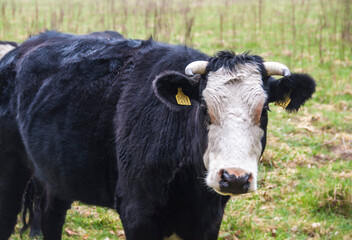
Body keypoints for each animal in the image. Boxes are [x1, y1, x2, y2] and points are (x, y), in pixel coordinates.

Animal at [0, 31, 314, 240]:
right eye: (204, 108)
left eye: (264, 110)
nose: (234, 177)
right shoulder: (138, 214)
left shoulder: (208, 219)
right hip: (11, 170)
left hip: (56, 175)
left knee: (51, 216)